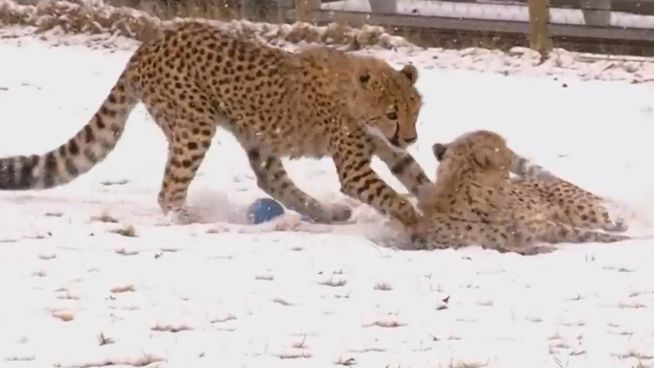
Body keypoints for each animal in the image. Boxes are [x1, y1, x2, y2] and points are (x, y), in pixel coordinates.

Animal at [0, 20, 436, 227]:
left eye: (415, 111)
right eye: (392, 112)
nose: (411, 136)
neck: (355, 94)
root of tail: (153, 40)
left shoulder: (388, 150)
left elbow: (414, 176)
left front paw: (433, 200)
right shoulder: (355, 168)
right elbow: (389, 193)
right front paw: (413, 217)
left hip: (254, 135)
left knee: (269, 179)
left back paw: (325, 212)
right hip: (195, 127)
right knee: (170, 189)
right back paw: (186, 217)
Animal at [412, 130, 632, 256]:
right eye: (503, 147)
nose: (513, 154)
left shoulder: (547, 226)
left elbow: (589, 235)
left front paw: (627, 241)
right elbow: (512, 247)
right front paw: (543, 248)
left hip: (584, 212)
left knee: (606, 219)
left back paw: (620, 224)